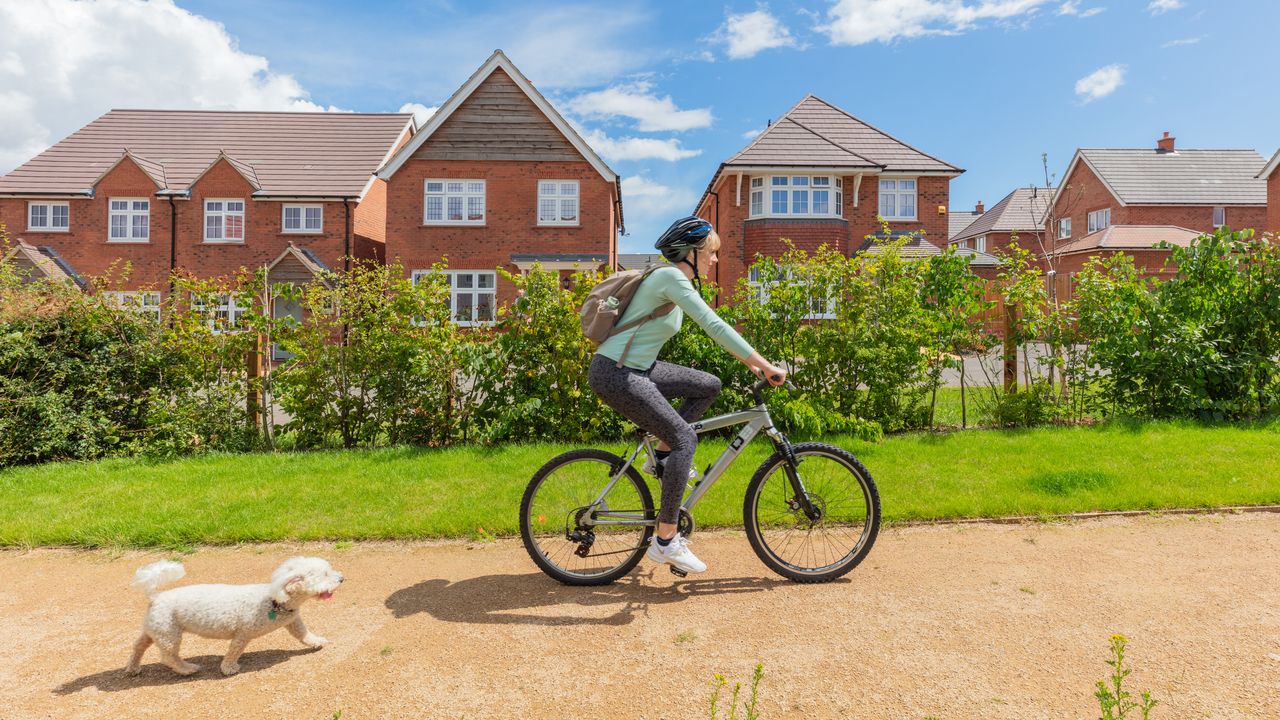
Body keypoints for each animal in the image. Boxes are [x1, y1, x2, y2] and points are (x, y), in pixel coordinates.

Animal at [125, 556, 345, 671]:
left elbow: (303, 634)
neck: (276, 601)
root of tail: (155, 596)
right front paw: (228, 668)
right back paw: (187, 669)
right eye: (326, 575)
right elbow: (234, 651)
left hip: (155, 630)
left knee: (138, 646)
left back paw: (133, 667)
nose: (342, 578)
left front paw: (317, 641)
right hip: (169, 634)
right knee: (169, 657)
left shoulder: (293, 620)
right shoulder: (243, 634)